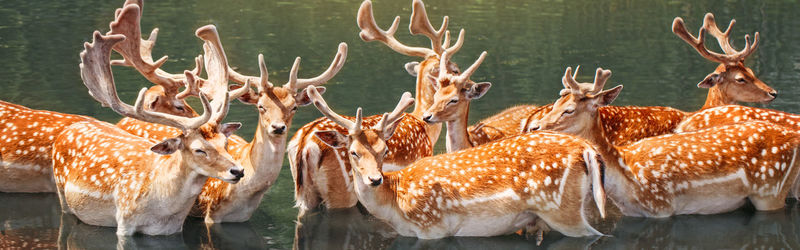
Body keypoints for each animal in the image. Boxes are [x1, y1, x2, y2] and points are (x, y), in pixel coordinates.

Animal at [52, 31, 245, 236]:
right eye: (199, 150)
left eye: (225, 143)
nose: (238, 171)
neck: (161, 210)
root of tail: (69, 129)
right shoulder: (124, 219)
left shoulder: (174, 229)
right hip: (61, 192)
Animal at [306, 87, 608, 239]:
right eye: (353, 152)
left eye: (384, 150)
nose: (374, 179)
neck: (395, 204)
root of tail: (587, 149)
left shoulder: (432, 228)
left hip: (562, 209)